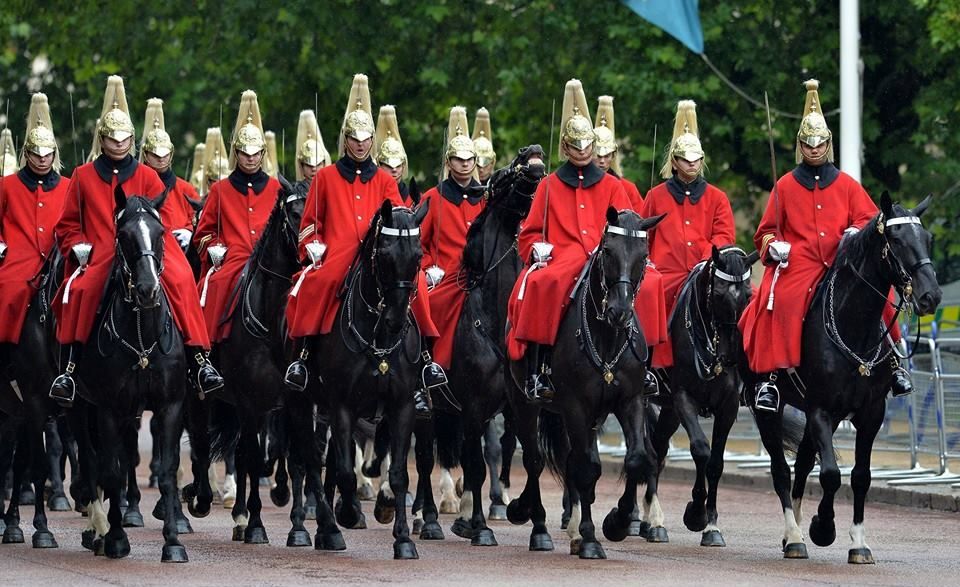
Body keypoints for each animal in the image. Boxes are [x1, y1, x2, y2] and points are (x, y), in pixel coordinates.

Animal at [66, 186, 191, 564]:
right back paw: (97, 529)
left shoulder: (170, 406)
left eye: (161, 233)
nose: (148, 290)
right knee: (91, 463)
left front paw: (172, 541)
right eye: (123, 235)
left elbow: (166, 471)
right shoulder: (106, 408)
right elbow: (109, 470)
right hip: (81, 407)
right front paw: (117, 538)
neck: (142, 333)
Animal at [308, 199, 428, 560]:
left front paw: (403, 538)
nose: (395, 321)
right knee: (313, 459)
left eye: (419, 256)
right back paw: (328, 526)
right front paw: (348, 513)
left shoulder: (402, 406)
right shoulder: (342, 405)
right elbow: (346, 471)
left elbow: (399, 473)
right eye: (384, 254)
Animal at [506, 208, 664, 560]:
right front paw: (591, 538)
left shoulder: (631, 400)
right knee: (536, 460)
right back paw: (536, 524)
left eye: (643, 255)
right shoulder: (575, 405)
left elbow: (637, 458)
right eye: (607, 251)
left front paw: (618, 522)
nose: (620, 311)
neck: (607, 336)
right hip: (526, 405)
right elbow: (586, 468)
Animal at [640, 245, 760, 548]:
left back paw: (647, 520)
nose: (731, 354)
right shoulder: (684, 399)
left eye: (748, 295)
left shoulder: (728, 407)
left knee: (658, 450)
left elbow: (715, 462)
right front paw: (696, 512)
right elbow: (700, 449)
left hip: (669, 411)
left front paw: (711, 525)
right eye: (718, 294)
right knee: (650, 452)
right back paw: (651, 521)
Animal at [748, 191, 940, 564]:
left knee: (803, 463)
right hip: (767, 409)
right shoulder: (821, 410)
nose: (931, 296)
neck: (854, 326)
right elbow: (831, 474)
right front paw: (823, 528)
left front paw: (858, 543)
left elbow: (860, 477)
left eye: (927, 239)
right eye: (896, 240)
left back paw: (791, 534)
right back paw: (795, 536)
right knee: (781, 470)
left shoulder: (869, 413)